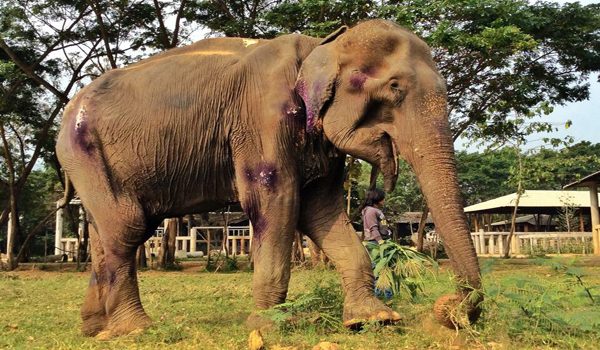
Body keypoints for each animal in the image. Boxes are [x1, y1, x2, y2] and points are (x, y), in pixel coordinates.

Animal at [56, 19, 482, 340]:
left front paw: (374, 319)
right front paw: (271, 326)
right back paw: (136, 330)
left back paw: (95, 329)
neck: (321, 45)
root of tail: (67, 112)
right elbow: (276, 200)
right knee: (127, 228)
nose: (453, 311)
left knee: (106, 232)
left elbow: (321, 210)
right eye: (395, 88)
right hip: (85, 153)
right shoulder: (262, 117)